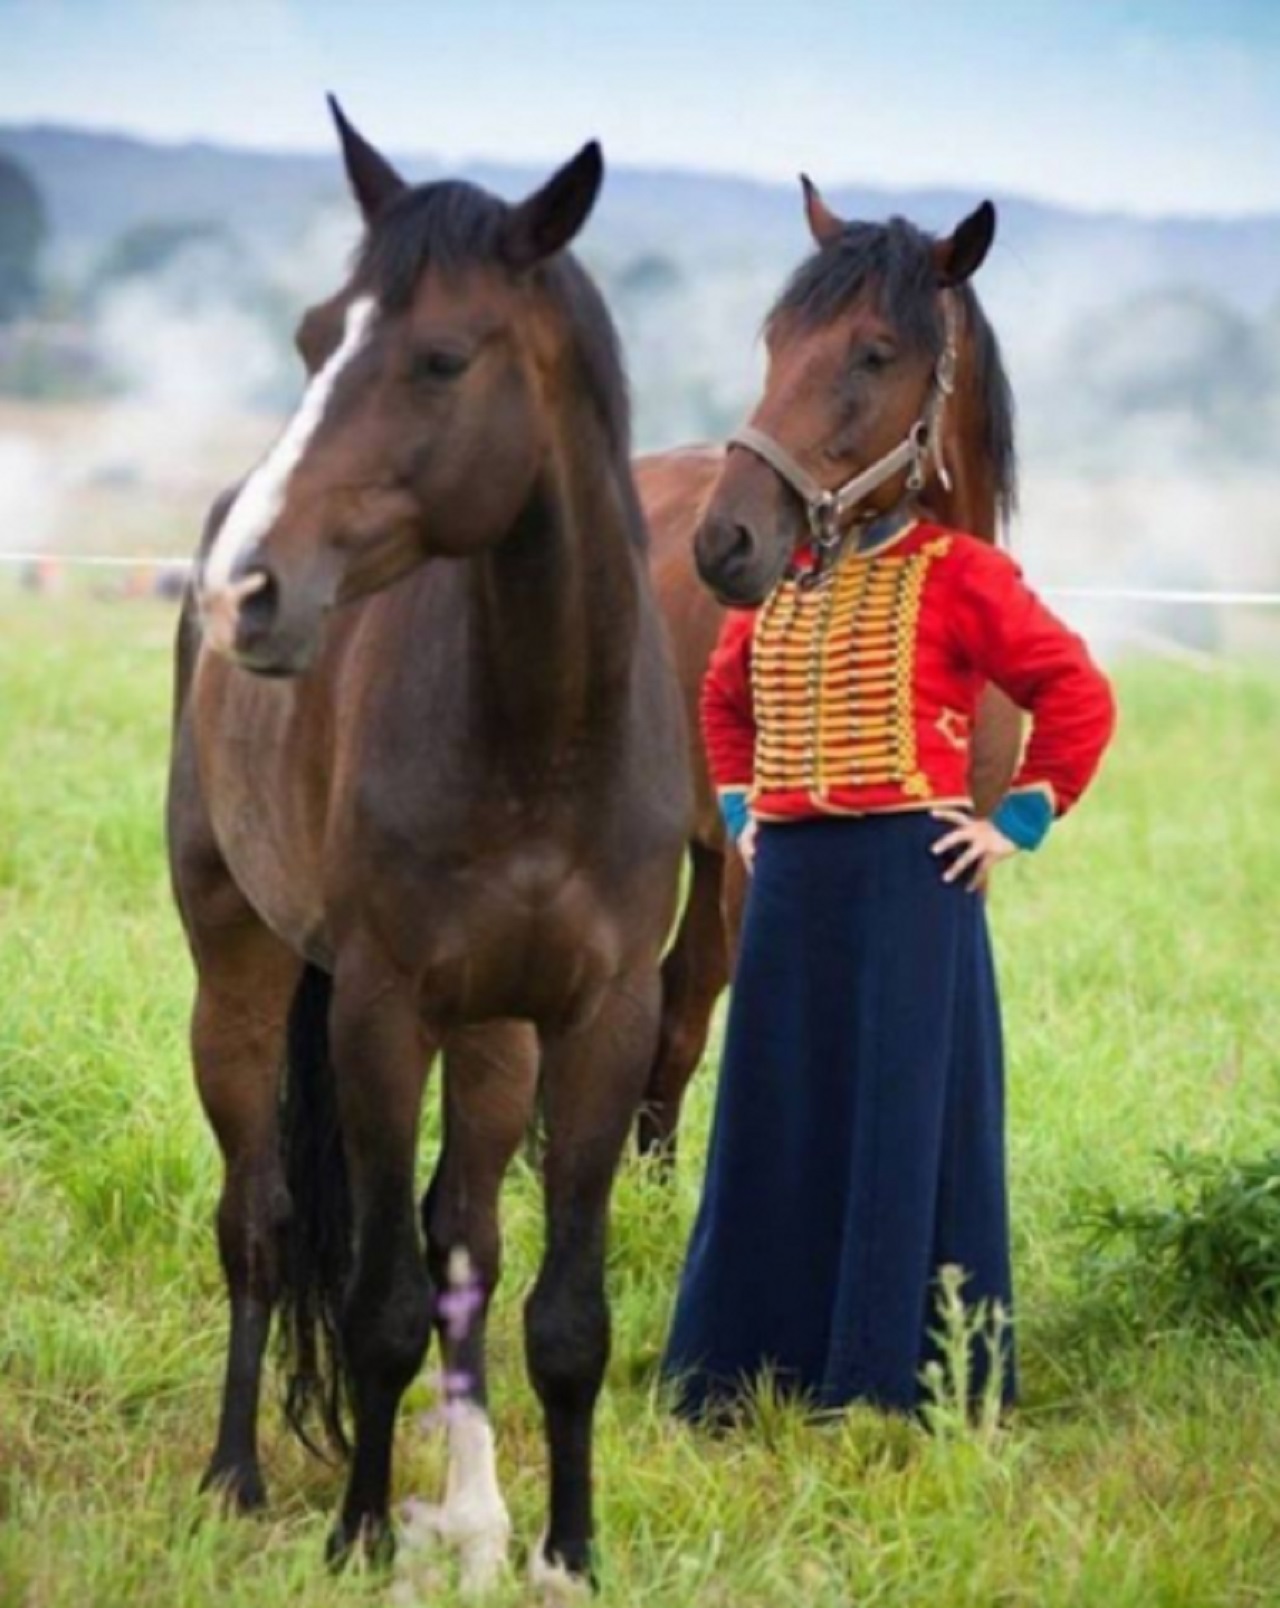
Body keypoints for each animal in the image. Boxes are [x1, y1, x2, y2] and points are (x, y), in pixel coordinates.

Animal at [172, 103, 691, 1595]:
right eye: (311, 337)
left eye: (443, 358)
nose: (245, 591)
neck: (538, 734)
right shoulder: (381, 1011)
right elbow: (379, 1304)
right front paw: (354, 1531)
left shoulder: (601, 1019)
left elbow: (559, 1311)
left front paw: (566, 1548)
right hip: (239, 977)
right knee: (261, 1224)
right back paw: (236, 1473)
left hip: (496, 1036)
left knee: (468, 1238)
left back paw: (474, 1513)